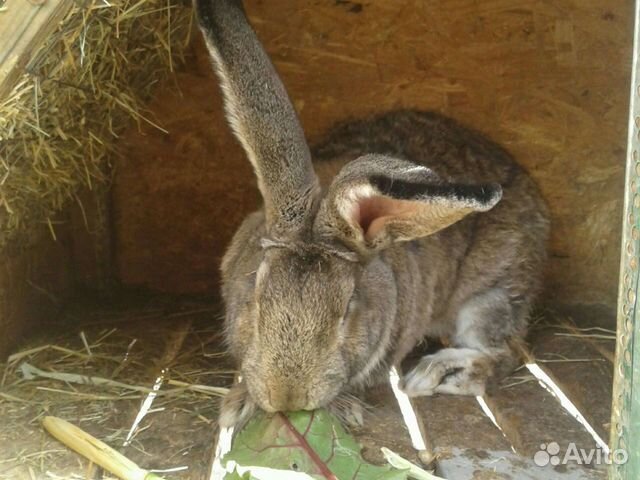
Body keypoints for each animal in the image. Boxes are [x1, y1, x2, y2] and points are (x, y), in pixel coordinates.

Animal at [195, 0, 552, 428]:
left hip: (493, 293)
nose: (288, 397)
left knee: (504, 351)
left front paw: (344, 409)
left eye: (348, 308)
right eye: (256, 292)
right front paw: (238, 405)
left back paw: (438, 373)